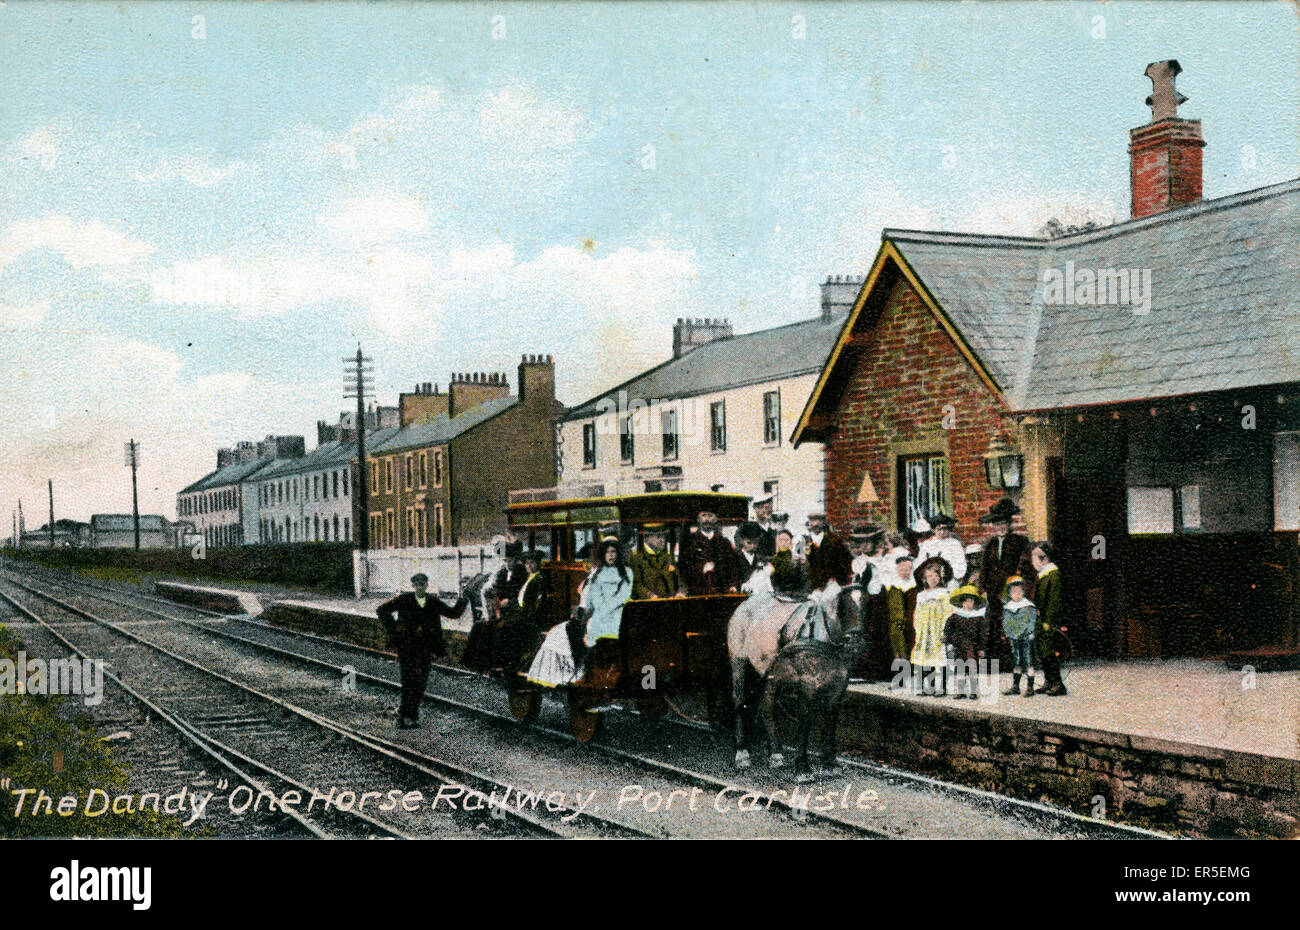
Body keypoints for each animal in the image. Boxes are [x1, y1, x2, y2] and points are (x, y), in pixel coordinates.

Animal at [728, 585, 868, 780]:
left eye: (866, 603)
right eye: (840, 605)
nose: (856, 644)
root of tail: (745, 604)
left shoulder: (839, 686)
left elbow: (830, 722)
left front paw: (829, 763)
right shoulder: (808, 685)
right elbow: (805, 720)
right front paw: (802, 768)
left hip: (769, 672)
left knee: (766, 705)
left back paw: (775, 754)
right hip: (739, 662)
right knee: (740, 701)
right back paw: (742, 754)